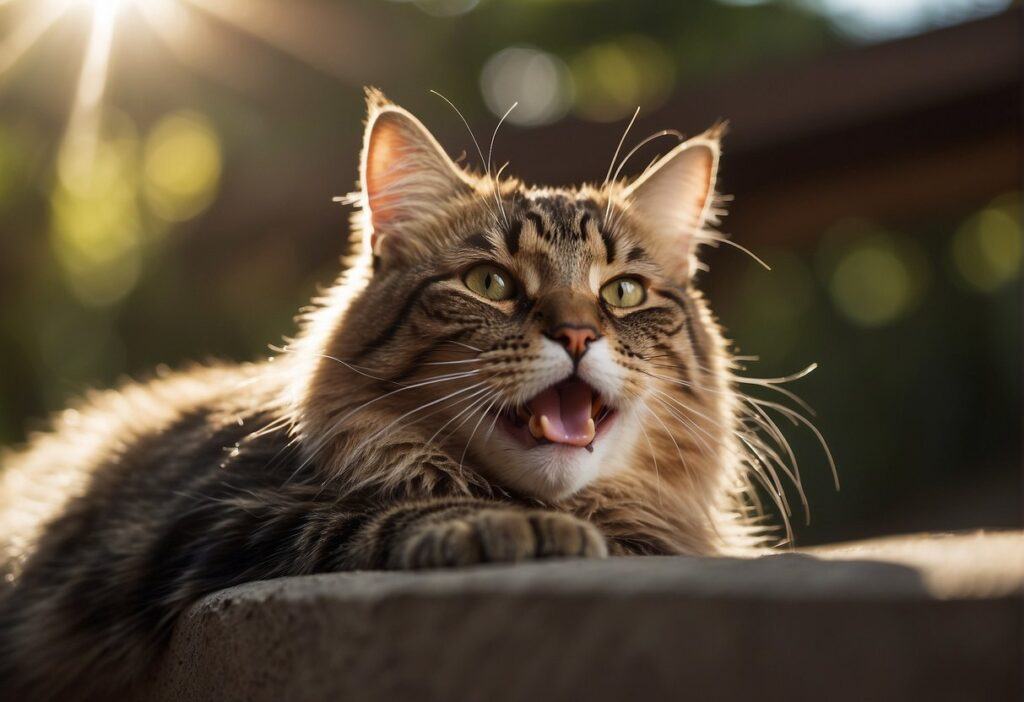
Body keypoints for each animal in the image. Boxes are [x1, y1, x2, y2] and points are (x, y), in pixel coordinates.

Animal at [0, 90, 815, 699]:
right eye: (490, 283)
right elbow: (379, 509)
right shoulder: (206, 518)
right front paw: (509, 526)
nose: (579, 334)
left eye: (622, 293)